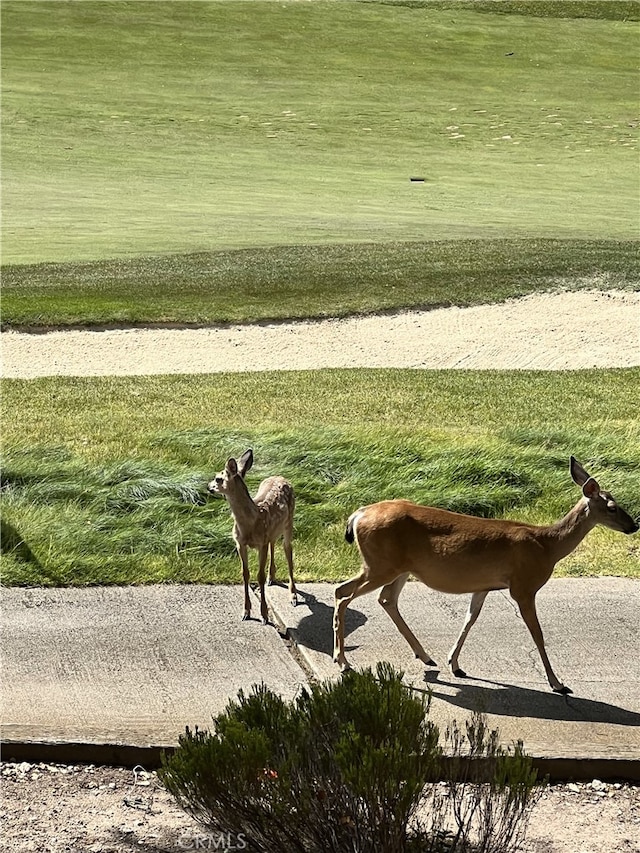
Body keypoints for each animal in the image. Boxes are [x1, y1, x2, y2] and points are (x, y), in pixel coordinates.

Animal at [210, 450, 298, 624]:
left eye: (218, 478)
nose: (208, 487)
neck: (250, 523)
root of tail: (281, 477)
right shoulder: (240, 543)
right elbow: (245, 574)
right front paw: (246, 612)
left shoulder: (260, 544)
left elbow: (259, 576)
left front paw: (264, 614)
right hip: (272, 532)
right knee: (273, 542)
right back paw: (272, 577)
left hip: (289, 521)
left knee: (288, 550)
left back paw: (293, 596)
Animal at [332, 460, 636, 692]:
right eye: (612, 507)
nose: (634, 526)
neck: (546, 546)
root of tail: (358, 515)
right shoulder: (523, 586)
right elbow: (537, 633)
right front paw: (557, 683)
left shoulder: (485, 586)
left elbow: (470, 619)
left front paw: (455, 664)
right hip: (380, 565)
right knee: (343, 594)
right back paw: (343, 661)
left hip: (397, 568)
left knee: (384, 599)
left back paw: (426, 657)